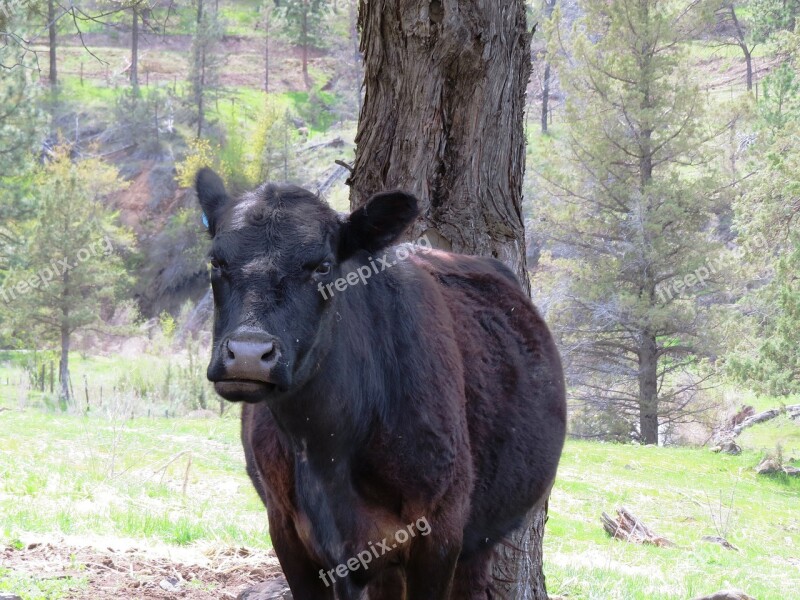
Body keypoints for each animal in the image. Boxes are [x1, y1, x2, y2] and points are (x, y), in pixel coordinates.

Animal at [195, 169, 568, 600]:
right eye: (216, 261)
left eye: (323, 266)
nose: (249, 353)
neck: (327, 450)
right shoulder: (287, 531)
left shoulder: (439, 533)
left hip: (481, 540)